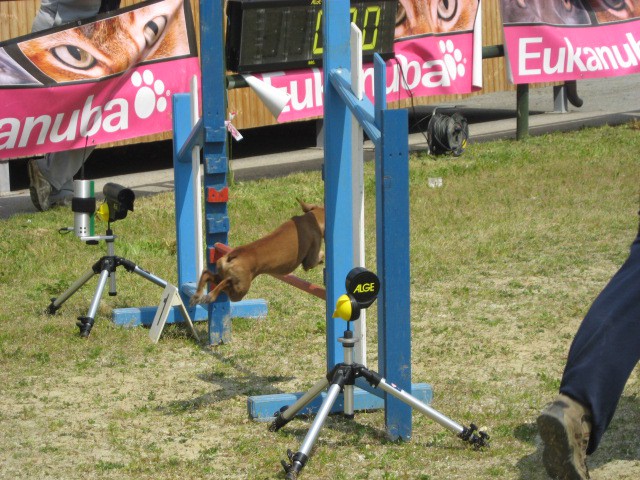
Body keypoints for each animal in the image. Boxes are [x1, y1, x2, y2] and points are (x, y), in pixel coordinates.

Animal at [188, 198, 322, 304]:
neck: (310, 219)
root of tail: (233, 255)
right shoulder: (310, 259)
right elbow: (318, 258)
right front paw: (322, 259)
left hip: (225, 278)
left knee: (208, 274)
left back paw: (197, 295)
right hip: (239, 290)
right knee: (226, 283)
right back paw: (210, 295)